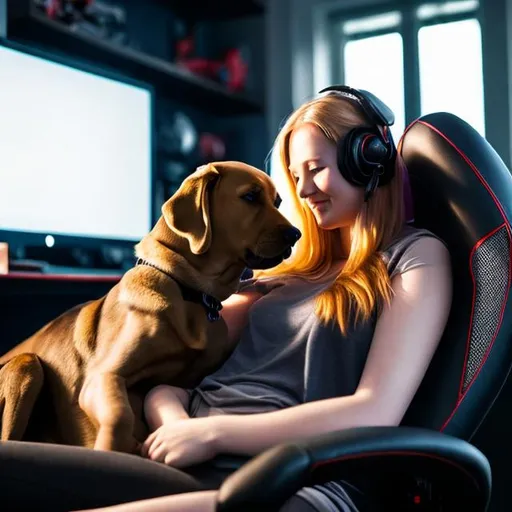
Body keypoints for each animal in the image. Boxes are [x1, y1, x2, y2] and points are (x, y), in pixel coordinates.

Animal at [0, 162, 300, 454]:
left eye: (277, 201)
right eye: (250, 196)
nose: (295, 234)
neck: (188, 293)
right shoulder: (103, 377)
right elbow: (120, 416)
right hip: (27, 365)